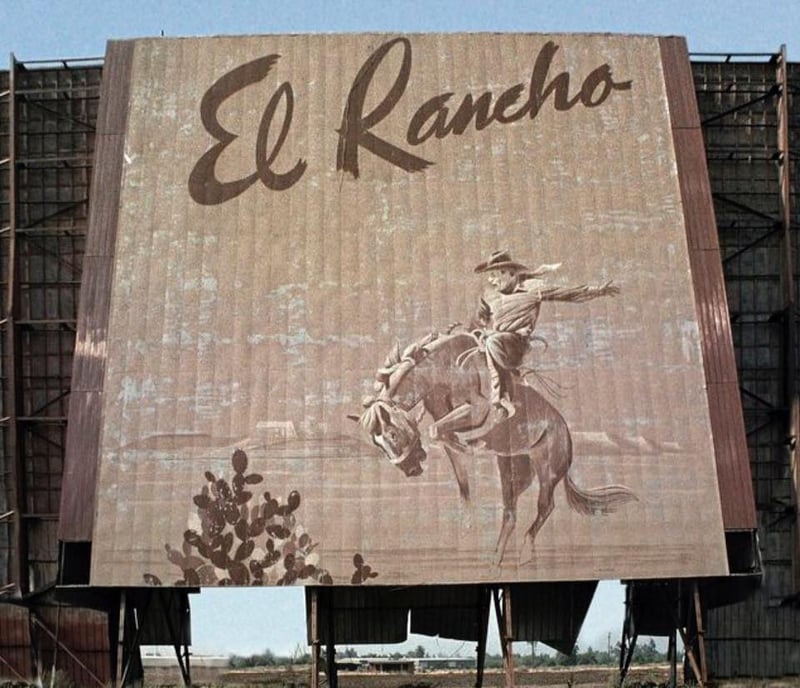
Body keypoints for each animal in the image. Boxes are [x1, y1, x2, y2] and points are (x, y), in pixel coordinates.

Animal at [350, 332, 636, 564]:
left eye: (392, 434)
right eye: (378, 443)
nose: (410, 469)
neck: (440, 371)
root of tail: (565, 432)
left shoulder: (478, 409)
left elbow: (441, 433)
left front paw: (469, 443)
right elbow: (456, 465)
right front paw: (466, 521)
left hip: (547, 470)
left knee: (546, 506)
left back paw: (524, 553)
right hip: (511, 466)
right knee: (510, 513)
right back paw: (495, 561)